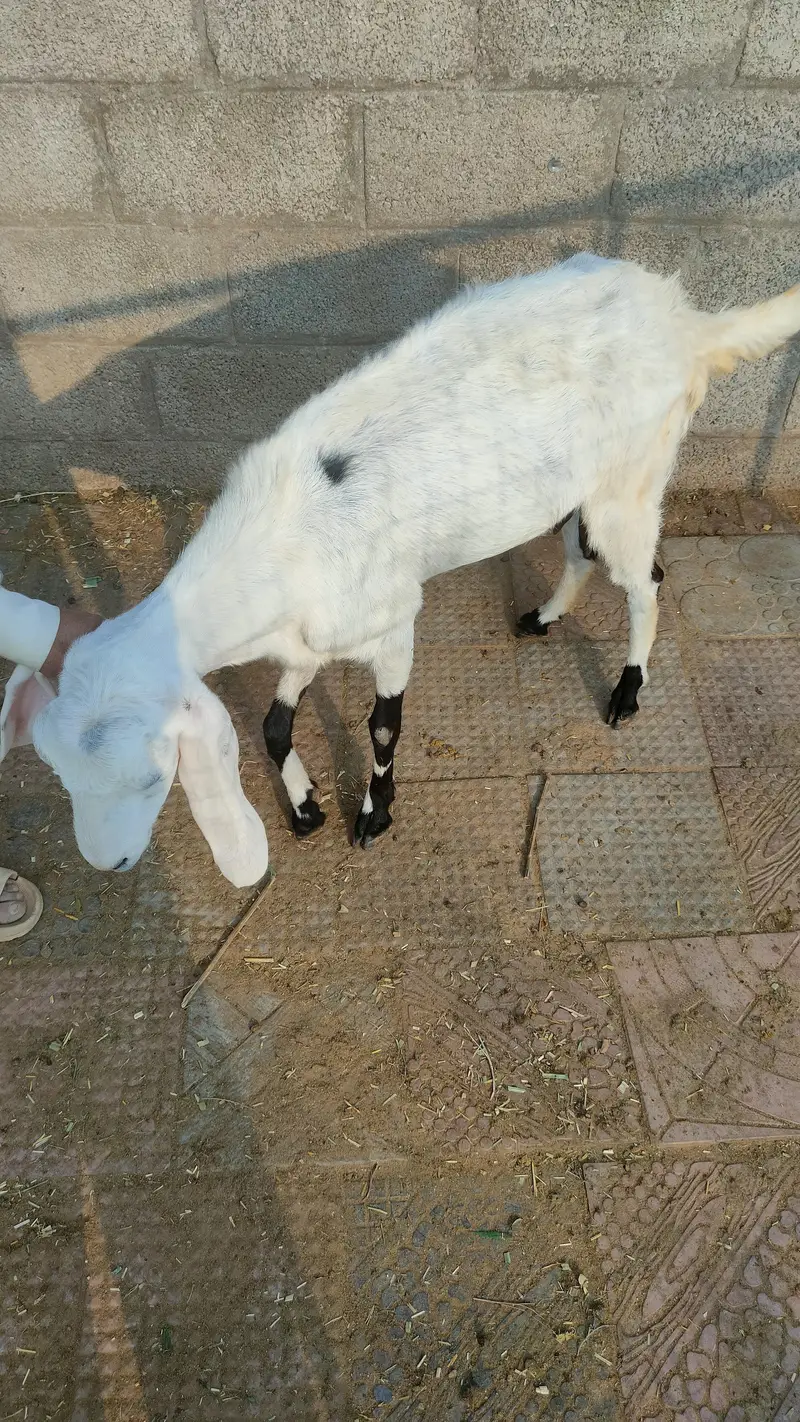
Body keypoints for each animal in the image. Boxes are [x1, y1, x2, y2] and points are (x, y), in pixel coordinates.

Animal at [3, 253, 800, 883]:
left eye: (151, 777)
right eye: (58, 774)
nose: (109, 863)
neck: (278, 533)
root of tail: (685, 323)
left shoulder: (390, 623)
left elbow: (383, 727)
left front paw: (372, 816)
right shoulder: (307, 637)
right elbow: (272, 725)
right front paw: (304, 808)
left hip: (632, 480)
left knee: (644, 580)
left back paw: (627, 690)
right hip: (578, 483)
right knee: (579, 550)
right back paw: (544, 617)